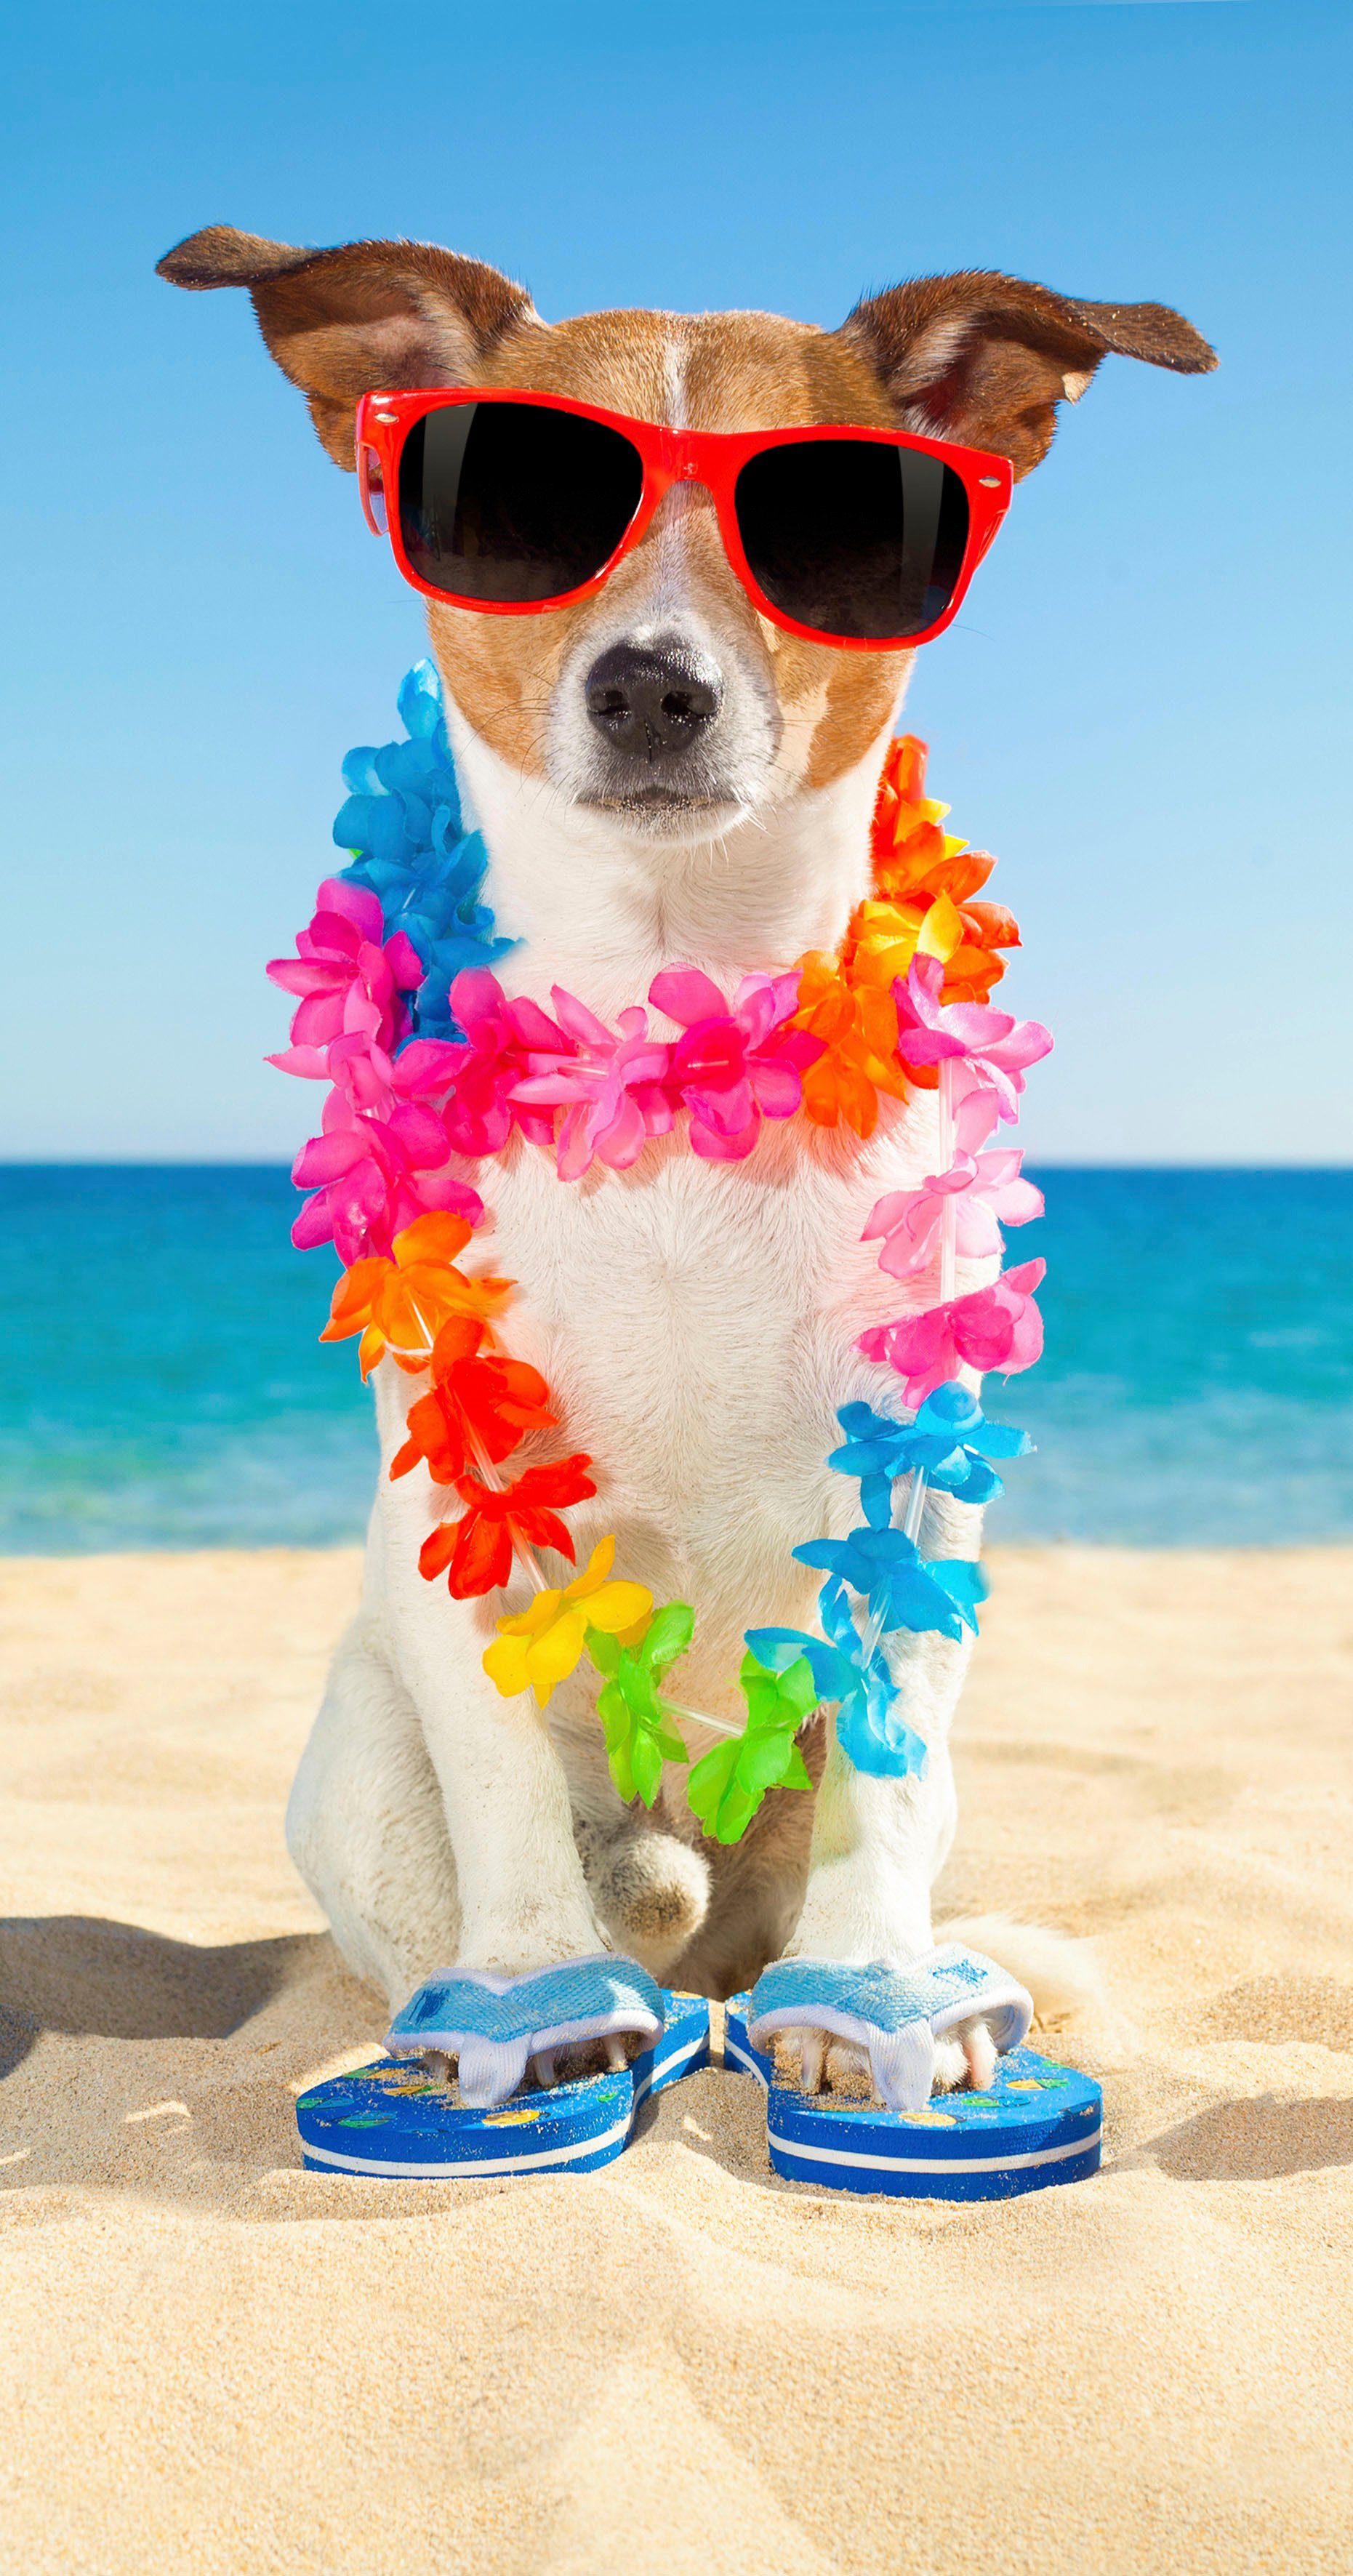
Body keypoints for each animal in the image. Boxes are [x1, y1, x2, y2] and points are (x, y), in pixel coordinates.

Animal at [158, 231, 1211, 2102]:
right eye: (519, 500)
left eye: (835, 522)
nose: (652, 686)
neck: (671, 1040)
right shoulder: (452, 1508)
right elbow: (501, 1777)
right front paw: (532, 1988)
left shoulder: (918, 1490)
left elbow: (884, 1786)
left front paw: (877, 1991)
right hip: (361, 1773)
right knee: (508, 1903)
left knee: (804, 1900)